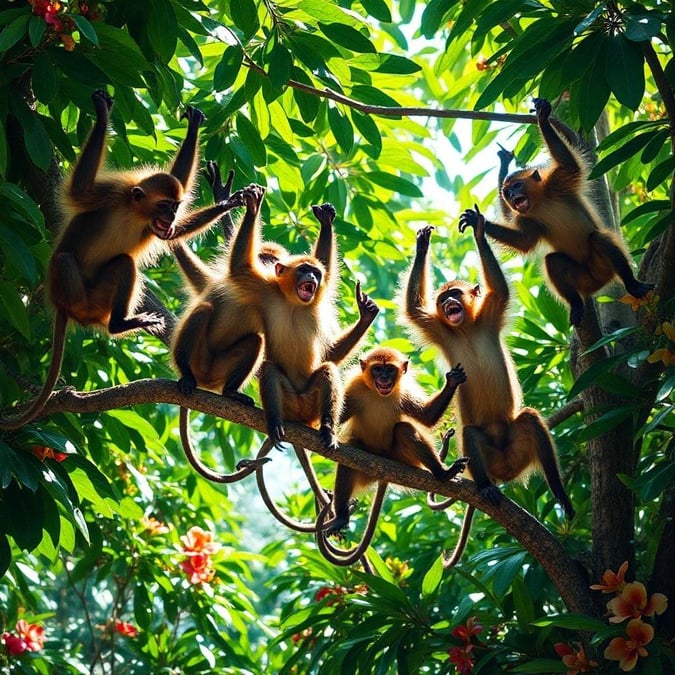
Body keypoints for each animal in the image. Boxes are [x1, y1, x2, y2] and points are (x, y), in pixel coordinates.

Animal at [0, 90, 240, 430]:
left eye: (175, 207)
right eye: (165, 205)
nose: (170, 216)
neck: (134, 212)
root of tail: (69, 309)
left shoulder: (154, 226)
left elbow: (174, 234)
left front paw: (225, 201)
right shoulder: (111, 192)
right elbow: (79, 190)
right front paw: (102, 115)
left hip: (101, 300)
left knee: (123, 264)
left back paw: (119, 324)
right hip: (77, 292)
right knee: (66, 259)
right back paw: (116, 321)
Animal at [314, 348, 468, 564]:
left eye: (390, 370)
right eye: (377, 369)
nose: (384, 378)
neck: (379, 395)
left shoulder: (403, 392)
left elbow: (426, 418)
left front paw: (452, 382)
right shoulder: (355, 387)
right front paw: (327, 430)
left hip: (400, 456)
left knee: (403, 429)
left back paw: (442, 473)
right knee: (352, 452)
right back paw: (342, 517)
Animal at [402, 213, 576, 572]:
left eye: (454, 294)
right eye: (443, 300)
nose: (449, 303)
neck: (465, 328)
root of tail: (504, 472)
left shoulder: (490, 311)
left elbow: (500, 289)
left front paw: (480, 229)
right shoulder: (439, 327)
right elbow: (414, 309)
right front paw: (422, 245)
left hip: (518, 447)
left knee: (530, 420)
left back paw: (557, 489)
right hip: (486, 457)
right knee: (471, 432)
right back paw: (485, 486)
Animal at [462, 96, 652, 326]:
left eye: (516, 186)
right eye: (507, 192)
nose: (511, 196)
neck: (540, 202)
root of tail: (598, 284)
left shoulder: (557, 182)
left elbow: (570, 165)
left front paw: (543, 119)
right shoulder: (526, 218)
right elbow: (525, 241)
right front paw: (478, 223)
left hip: (602, 267)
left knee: (599, 239)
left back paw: (631, 283)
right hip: (582, 278)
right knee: (553, 261)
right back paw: (576, 304)